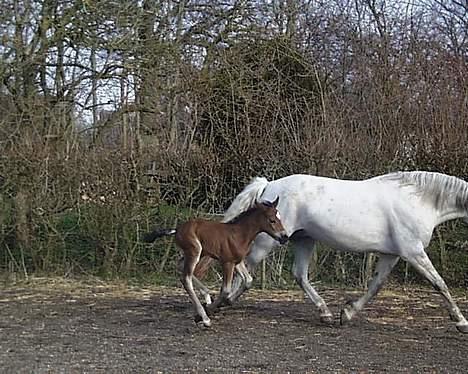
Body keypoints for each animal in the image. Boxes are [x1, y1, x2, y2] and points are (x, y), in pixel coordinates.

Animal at [144, 197, 288, 326]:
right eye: (272, 220)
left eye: (280, 218)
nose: (284, 237)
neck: (239, 234)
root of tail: (177, 229)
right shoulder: (227, 263)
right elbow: (225, 291)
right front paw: (205, 313)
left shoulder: (237, 261)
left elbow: (248, 281)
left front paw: (226, 302)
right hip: (194, 251)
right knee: (186, 278)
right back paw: (205, 318)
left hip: (199, 253)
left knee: (179, 265)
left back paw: (207, 297)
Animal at [222, 172, 468, 334]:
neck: (417, 201)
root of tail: (269, 185)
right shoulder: (413, 252)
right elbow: (439, 284)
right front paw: (461, 322)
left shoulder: (392, 255)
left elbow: (375, 286)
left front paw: (347, 314)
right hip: (268, 241)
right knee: (244, 265)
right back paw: (225, 299)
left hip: (304, 240)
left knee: (299, 275)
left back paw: (325, 314)